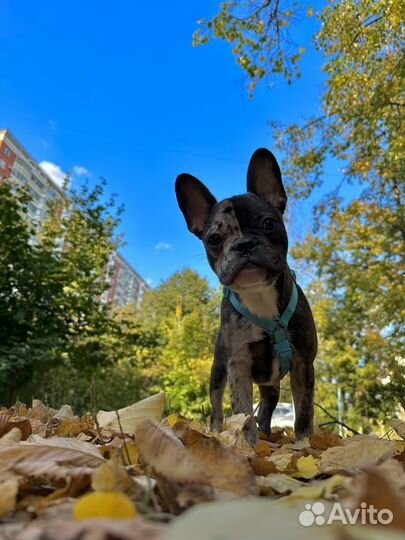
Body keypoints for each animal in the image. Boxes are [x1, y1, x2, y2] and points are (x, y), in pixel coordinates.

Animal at [174, 149, 316, 448]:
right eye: (214, 239)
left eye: (269, 223)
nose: (244, 244)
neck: (259, 294)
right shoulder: (238, 365)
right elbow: (242, 412)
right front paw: (247, 447)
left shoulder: (303, 363)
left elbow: (303, 411)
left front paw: (305, 445)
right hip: (218, 372)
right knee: (217, 409)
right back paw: (218, 432)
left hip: (272, 386)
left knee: (267, 408)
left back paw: (268, 435)